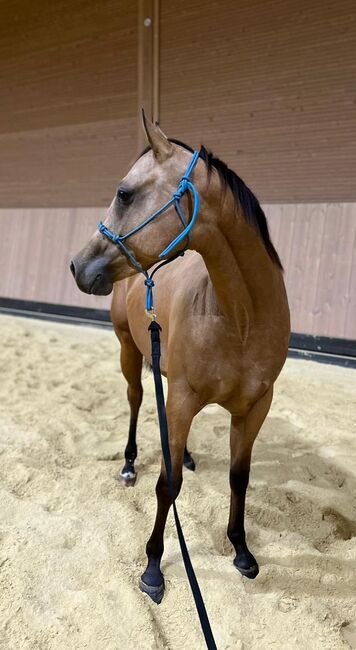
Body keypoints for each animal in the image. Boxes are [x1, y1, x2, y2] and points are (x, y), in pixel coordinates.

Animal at [71, 112, 290, 604]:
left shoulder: (255, 408)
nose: (77, 266)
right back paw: (129, 464)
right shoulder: (184, 399)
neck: (240, 317)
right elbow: (167, 484)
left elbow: (239, 477)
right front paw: (153, 568)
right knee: (136, 401)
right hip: (128, 352)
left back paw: (186, 454)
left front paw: (242, 551)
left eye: (124, 193)